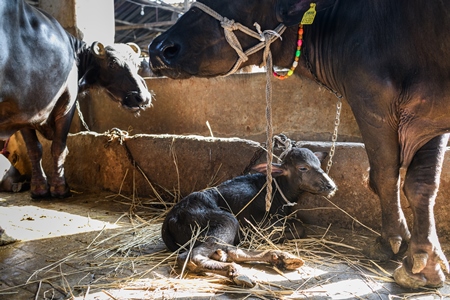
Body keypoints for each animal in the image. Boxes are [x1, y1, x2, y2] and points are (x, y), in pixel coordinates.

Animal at [0, 0, 153, 199]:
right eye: (112, 64)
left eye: (136, 64)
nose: (141, 97)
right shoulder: (65, 105)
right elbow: (57, 147)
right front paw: (60, 188)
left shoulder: (24, 116)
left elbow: (35, 149)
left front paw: (39, 188)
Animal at [161, 146, 334, 288]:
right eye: (303, 168)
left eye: (319, 165)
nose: (331, 186)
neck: (278, 189)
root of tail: (170, 218)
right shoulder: (260, 222)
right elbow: (299, 227)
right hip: (227, 220)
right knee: (190, 256)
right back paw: (237, 272)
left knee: (229, 250)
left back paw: (278, 257)